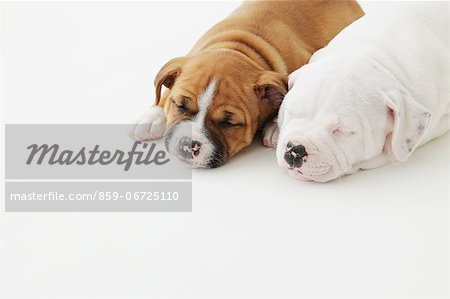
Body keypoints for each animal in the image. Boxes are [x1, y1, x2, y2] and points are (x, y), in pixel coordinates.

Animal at [129, 0, 362, 169]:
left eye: (229, 123)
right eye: (180, 105)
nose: (188, 144)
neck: (241, 48)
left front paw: (275, 127)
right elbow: (164, 91)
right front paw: (152, 116)